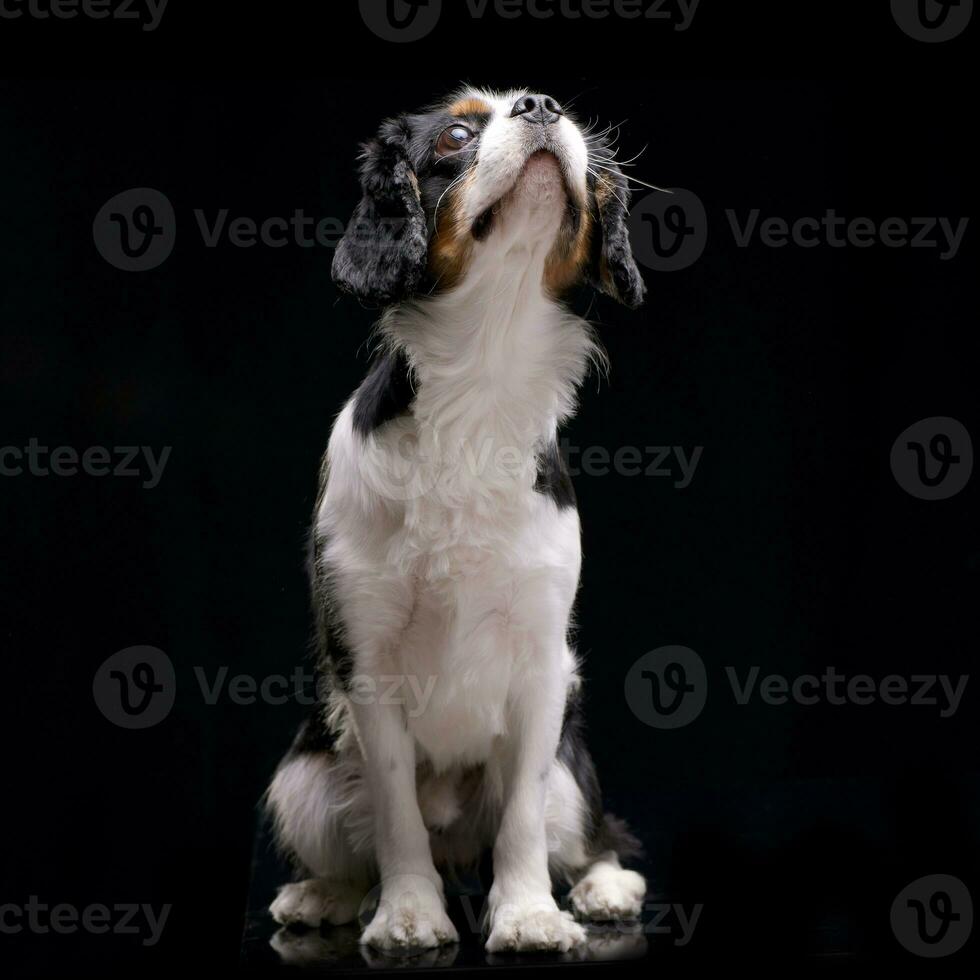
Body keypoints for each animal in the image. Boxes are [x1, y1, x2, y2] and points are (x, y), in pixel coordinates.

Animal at [268, 88, 652, 952]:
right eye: (454, 134)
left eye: (549, 105)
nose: (541, 105)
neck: (483, 376)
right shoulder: (368, 663)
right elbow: (396, 814)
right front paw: (409, 913)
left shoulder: (544, 663)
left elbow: (522, 818)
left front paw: (528, 913)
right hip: (302, 777)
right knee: (355, 849)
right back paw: (325, 896)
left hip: (573, 774)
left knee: (592, 831)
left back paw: (606, 885)